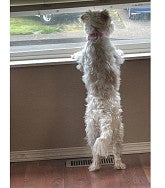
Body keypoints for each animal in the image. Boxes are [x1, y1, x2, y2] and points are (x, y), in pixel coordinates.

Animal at [72, 9, 126, 172]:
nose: (113, 25)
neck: (96, 35)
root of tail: (104, 114)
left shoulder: (84, 59)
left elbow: (80, 58)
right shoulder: (114, 55)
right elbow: (119, 56)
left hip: (93, 129)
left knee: (96, 150)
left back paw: (96, 166)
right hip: (116, 128)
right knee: (115, 150)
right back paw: (115, 164)